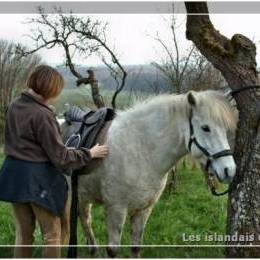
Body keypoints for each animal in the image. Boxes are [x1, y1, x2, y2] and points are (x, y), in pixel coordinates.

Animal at [60, 90, 238, 256]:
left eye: (225, 129)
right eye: (205, 128)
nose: (229, 170)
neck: (140, 150)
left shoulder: (144, 210)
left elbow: (136, 247)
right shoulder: (116, 209)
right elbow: (112, 250)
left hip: (82, 196)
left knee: (85, 219)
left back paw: (93, 250)